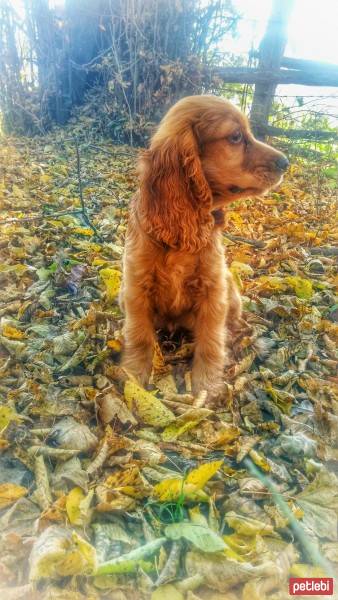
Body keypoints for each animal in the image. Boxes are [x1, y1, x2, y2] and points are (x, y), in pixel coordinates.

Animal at [119, 95, 288, 394]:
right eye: (235, 137)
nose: (287, 163)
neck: (180, 237)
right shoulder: (135, 287)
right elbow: (139, 334)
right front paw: (133, 374)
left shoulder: (214, 288)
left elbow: (211, 340)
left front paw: (206, 385)